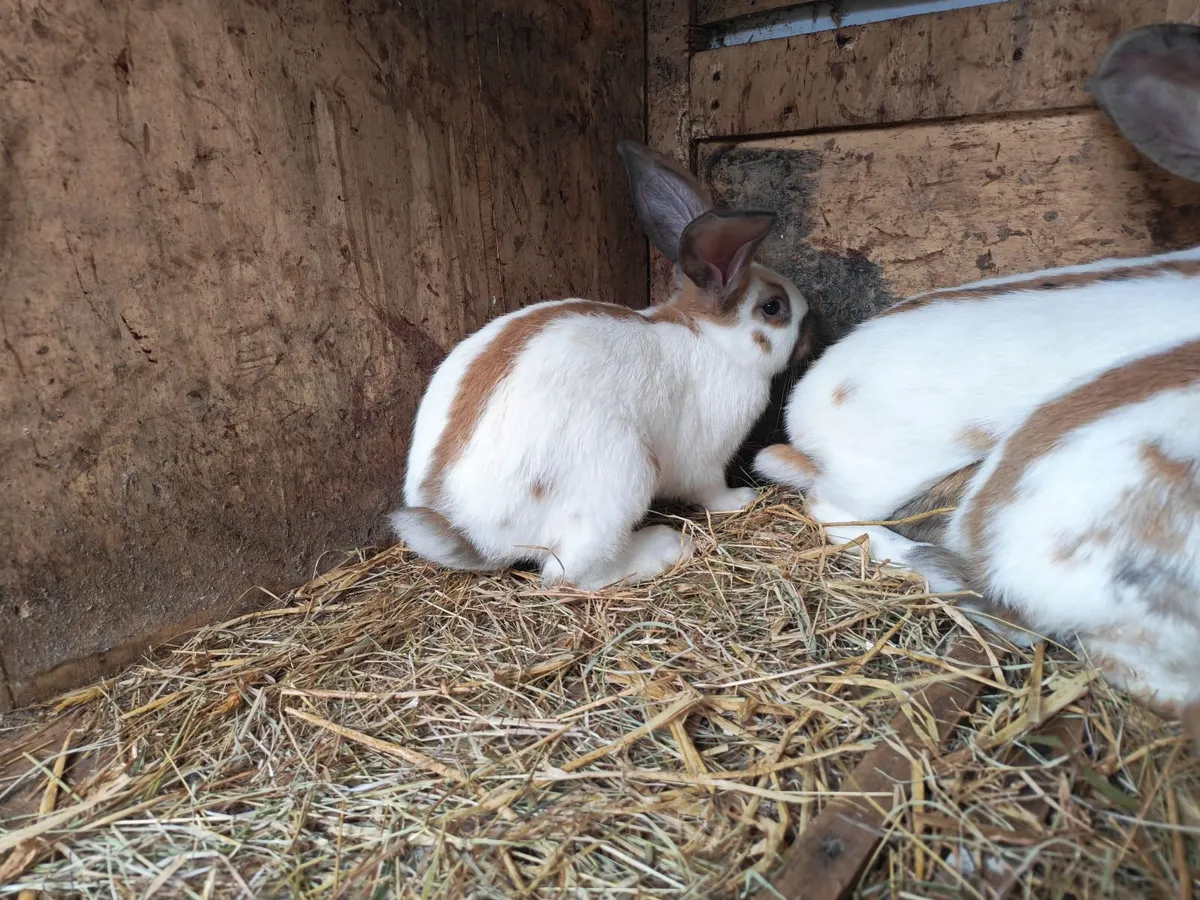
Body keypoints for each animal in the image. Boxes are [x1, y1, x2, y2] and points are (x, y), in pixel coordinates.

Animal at [390, 140, 812, 590]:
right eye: (773, 308)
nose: (814, 325)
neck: (713, 341)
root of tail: (466, 530)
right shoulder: (706, 459)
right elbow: (711, 490)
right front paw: (741, 499)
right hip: (624, 474)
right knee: (569, 573)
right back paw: (665, 548)